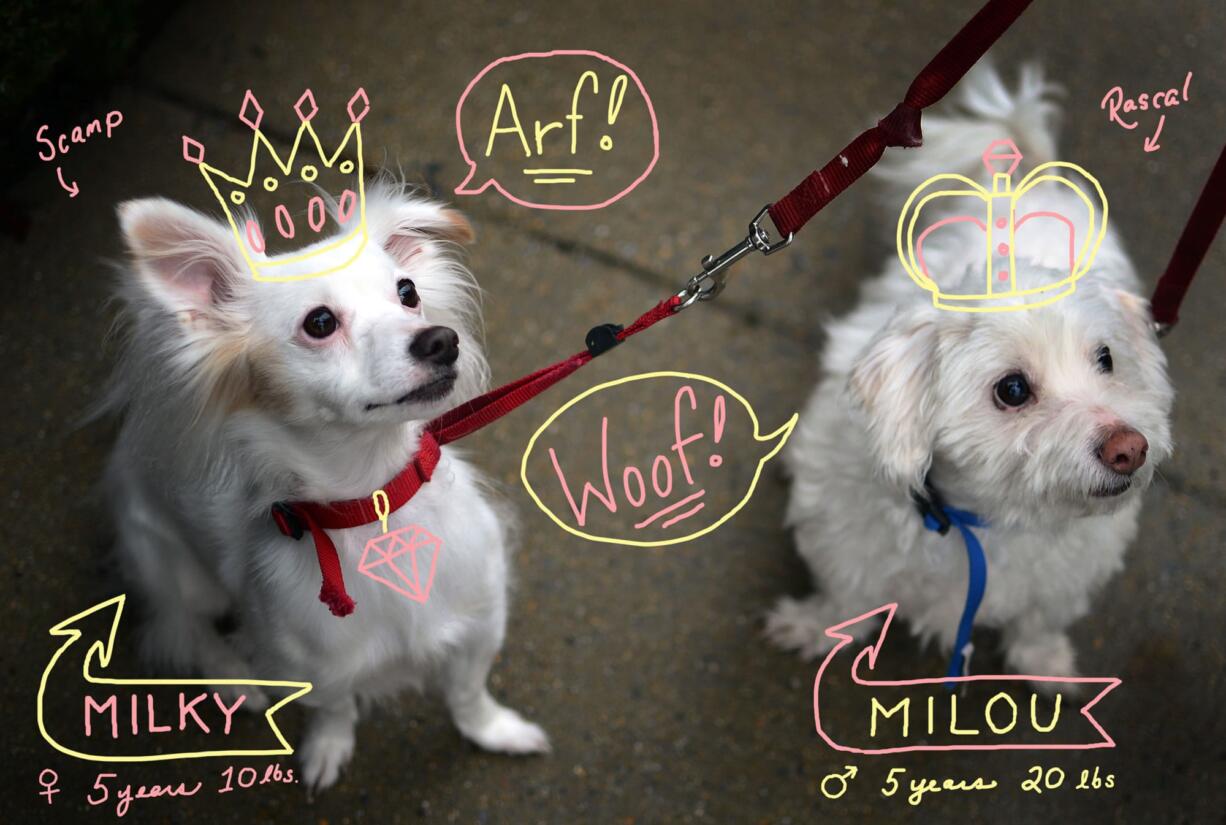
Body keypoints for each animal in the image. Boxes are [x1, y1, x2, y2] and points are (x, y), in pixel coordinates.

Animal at [765, 64, 1176, 681]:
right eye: (1013, 389)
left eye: (1106, 358)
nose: (1130, 448)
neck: (983, 520)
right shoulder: (847, 541)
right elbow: (843, 597)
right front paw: (812, 626)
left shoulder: (1061, 578)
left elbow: (1037, 621)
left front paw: (1047, 664)